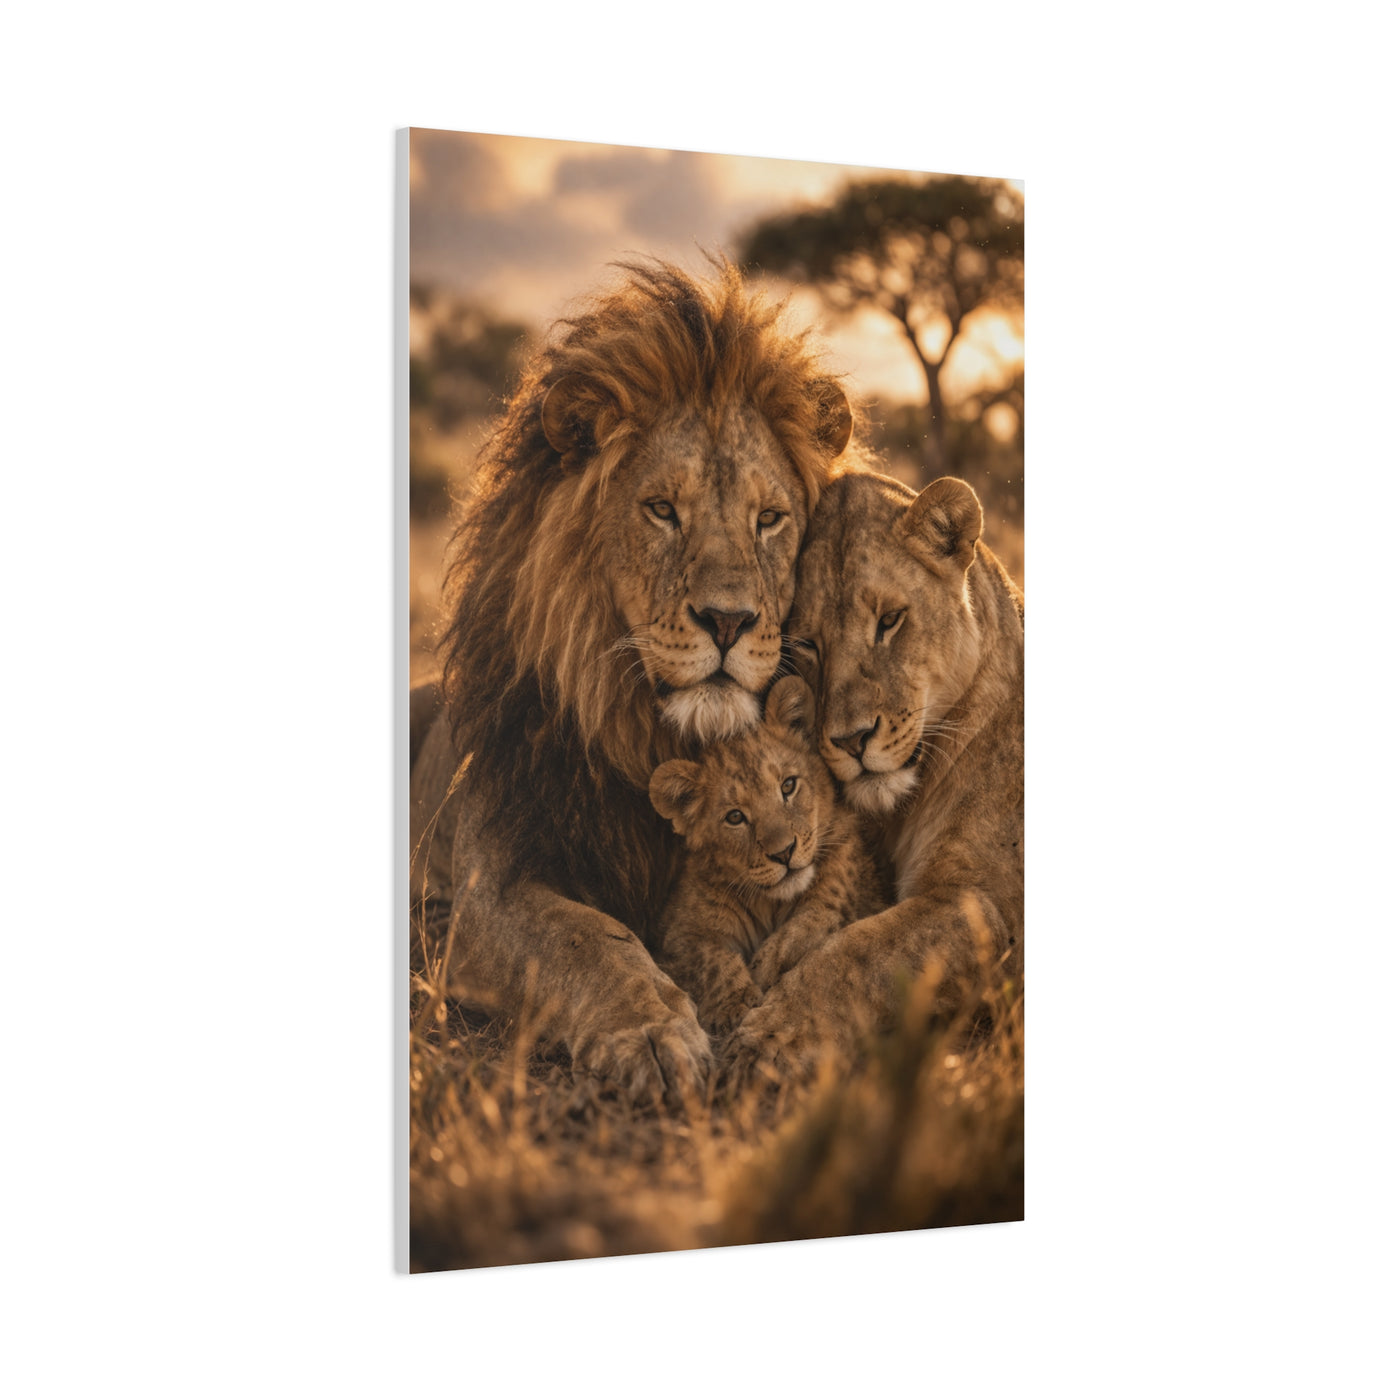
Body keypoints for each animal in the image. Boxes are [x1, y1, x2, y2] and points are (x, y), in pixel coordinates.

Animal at [410, 259, 857, 1103]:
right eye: (661, 510)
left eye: (770, 520)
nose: (728, 620)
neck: (655, 731)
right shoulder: (490, 887)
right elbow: (584, 937)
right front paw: (651, 1031)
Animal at [647, 675, 886, 1037]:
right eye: (735, 817)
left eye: (788, 786)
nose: (783, 852)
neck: (770, 904)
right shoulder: (677, 935)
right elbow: (708, 957)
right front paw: (734, 1005)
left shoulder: (852, 885)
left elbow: (816, 918)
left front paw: (767, 963)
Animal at [726, 471, 1024, 1080]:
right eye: (808, 644)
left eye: (889, 621)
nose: (850, 740)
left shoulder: (987, 904)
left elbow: (863, 952)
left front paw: (769, 1035)